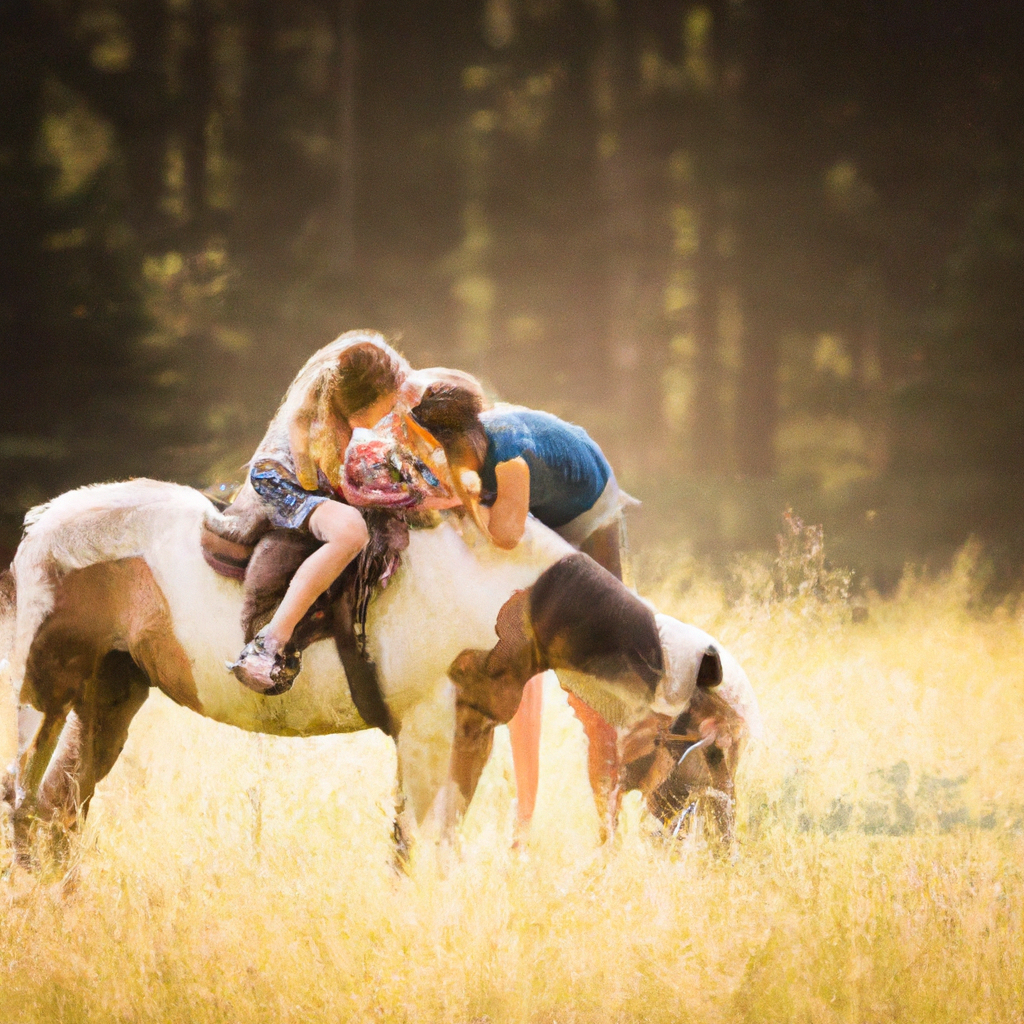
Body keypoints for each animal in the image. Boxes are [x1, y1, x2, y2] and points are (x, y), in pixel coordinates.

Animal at [2, 475, 688, 860]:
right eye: (697, 751)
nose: (698, 849)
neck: (501, 585)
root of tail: (41, 525)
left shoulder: (471, 730)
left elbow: (427, 847)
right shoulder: (428, 730)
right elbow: (419, 848)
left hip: (108, 697)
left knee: (54, 815)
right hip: (43, 695)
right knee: (23, 803)